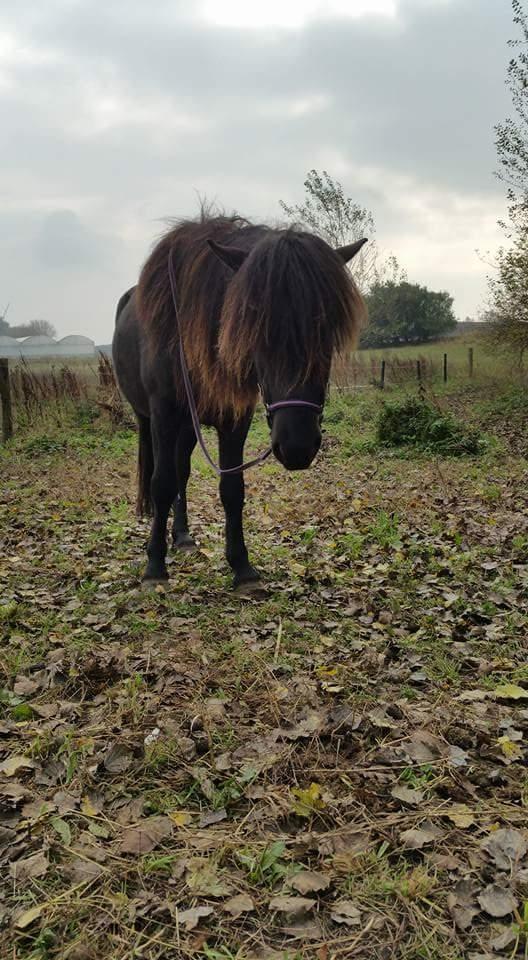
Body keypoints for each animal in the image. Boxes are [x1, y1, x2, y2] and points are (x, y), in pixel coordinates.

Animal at [112, 214, 368, 588]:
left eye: (327, 326)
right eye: (251, 320)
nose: (297, 446)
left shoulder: (234, 418)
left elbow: (232, 488)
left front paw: (242, 567)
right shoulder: (163, 414)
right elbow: (161, 484)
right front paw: (155, 567)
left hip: (189, 427)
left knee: (182, 471)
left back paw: (183, 536)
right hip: (152, 420)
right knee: (167, 476)